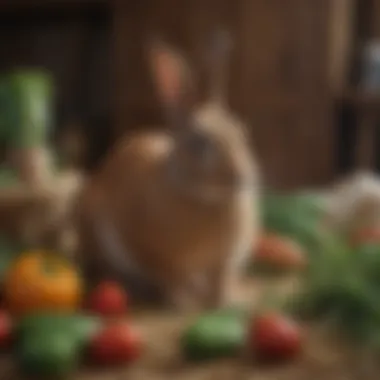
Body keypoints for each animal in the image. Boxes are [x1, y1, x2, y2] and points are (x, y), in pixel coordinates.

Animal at [75, 31, 262, 312]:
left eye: (241, 131)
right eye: (198, 143)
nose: (241, 177)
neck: (203, 198)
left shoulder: (222, 262)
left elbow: (219, 281)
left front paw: (222, 303)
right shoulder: (155, 255)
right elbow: (171, 277)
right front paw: (182, 304)